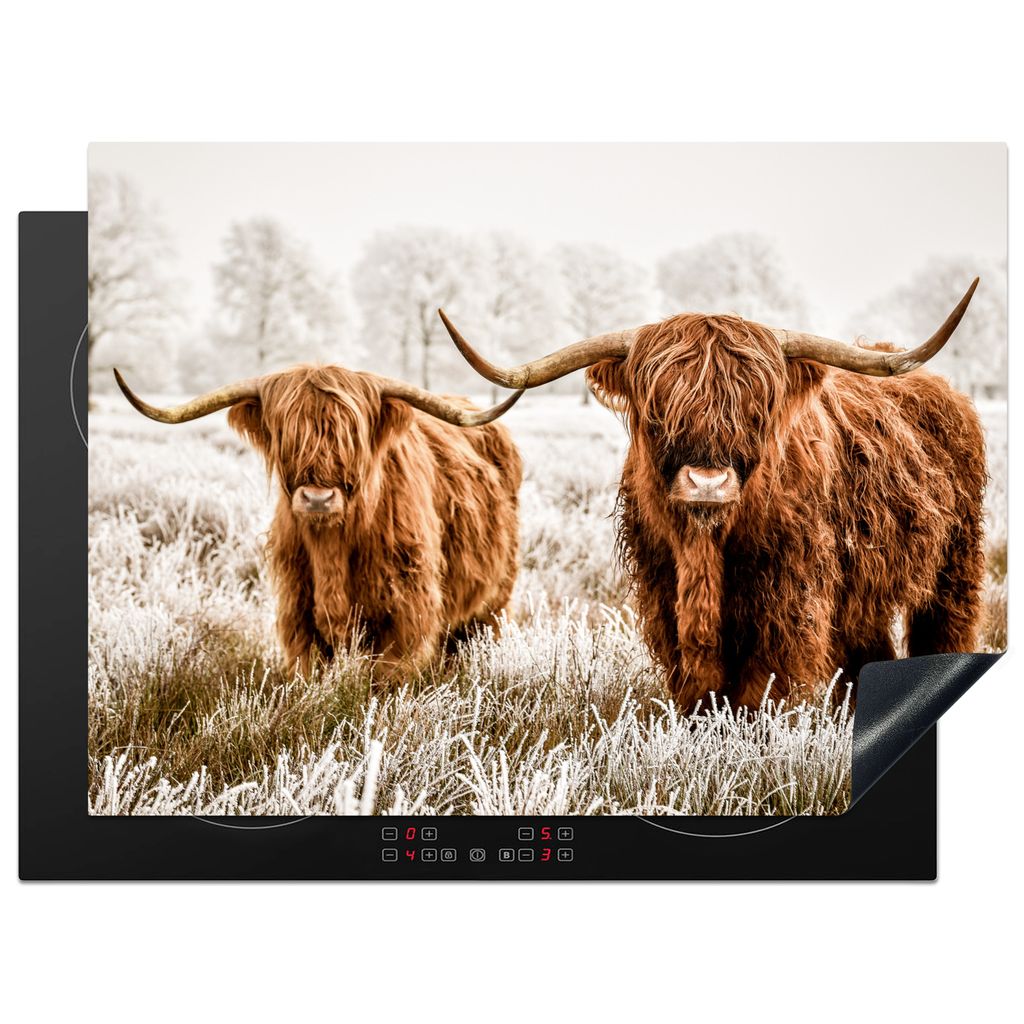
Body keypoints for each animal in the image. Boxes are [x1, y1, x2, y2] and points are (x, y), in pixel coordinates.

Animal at [114, 365, 524, 680]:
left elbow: (388, 679)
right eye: (286, 434)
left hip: (493, 602)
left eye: (351, 435)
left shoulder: (407, 614)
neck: (332, 549)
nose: (317, 498)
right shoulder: (298, 613)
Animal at [437, 280, 986, 713]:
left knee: (943, 632)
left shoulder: (789, 599)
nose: (707, 483)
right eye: (658, 410)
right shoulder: (663, 591)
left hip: (955, 565)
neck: (706, 548)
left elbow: (763, 688)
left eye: (755, 409)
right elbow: (698, 688)